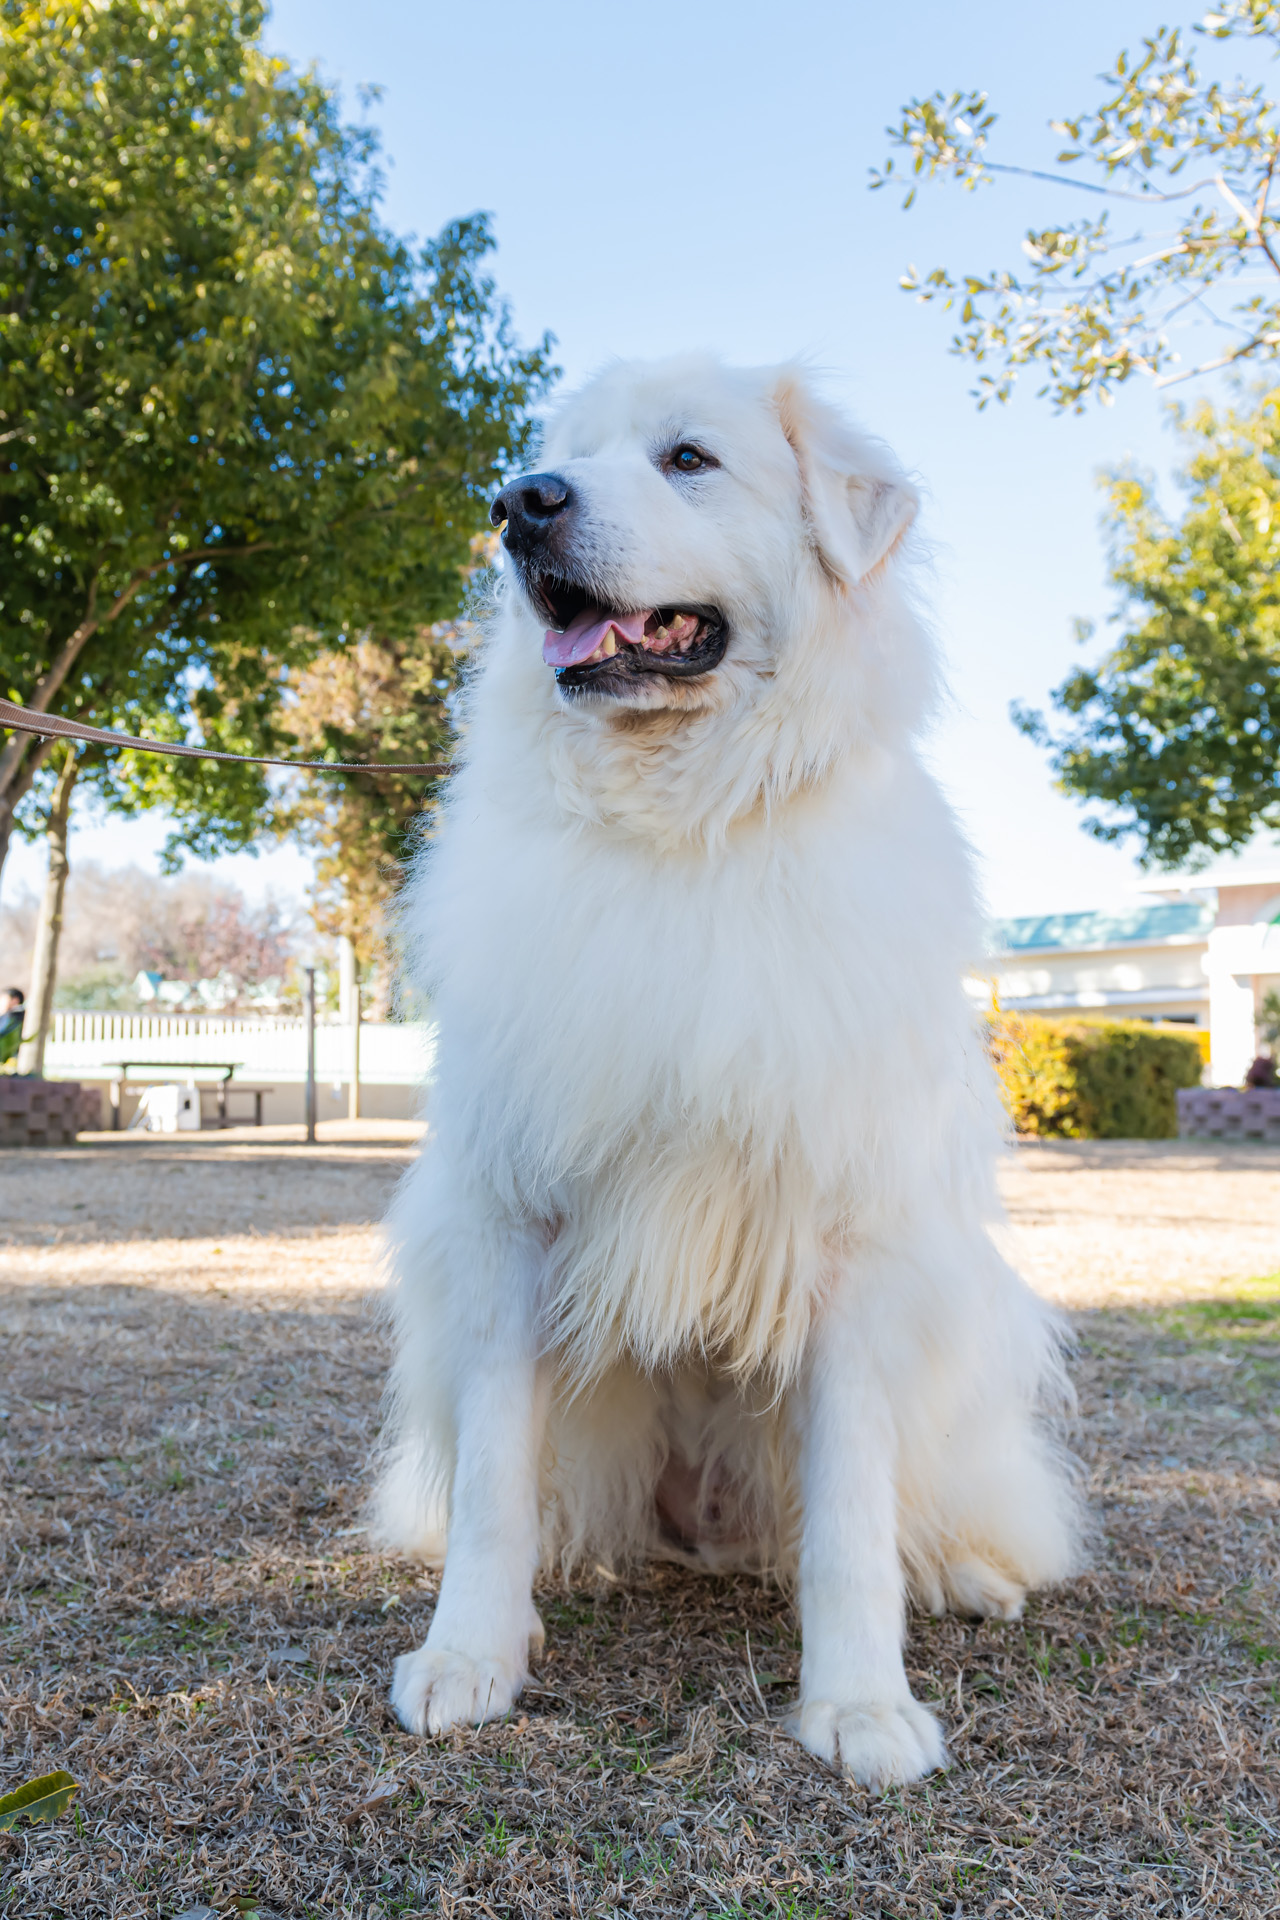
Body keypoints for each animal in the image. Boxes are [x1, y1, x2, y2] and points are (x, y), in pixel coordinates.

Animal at [378, 355, 1079, 1787]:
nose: (518, 505)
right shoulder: (504, 1219)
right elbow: (490, 1490)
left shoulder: (857, 1248)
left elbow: (852, 1520)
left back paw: (963, 1575)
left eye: (687, 460)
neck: (684, 826)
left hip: (963, 1320)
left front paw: (859, 1707)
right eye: (559, 456)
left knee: (914, 1508)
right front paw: (470, 1657)